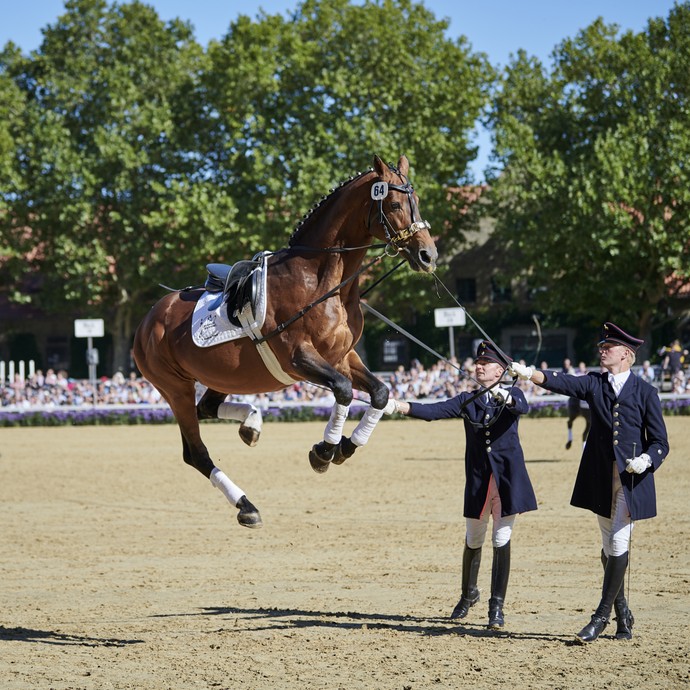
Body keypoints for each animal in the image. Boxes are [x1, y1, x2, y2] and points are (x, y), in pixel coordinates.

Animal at [132, 155, 436, 528]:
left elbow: (380, 392)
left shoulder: (342, 357)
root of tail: (148, 319)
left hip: (221, 377)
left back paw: (251, 424)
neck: (322, 281)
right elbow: (343, 391)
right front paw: (324, 451)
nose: (428, 256)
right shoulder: (299, 357)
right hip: (175, 388)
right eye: (393, 204)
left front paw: (346, 447)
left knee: (207, 408)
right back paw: (246, 505)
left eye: (416, 200)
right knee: (196, 453)